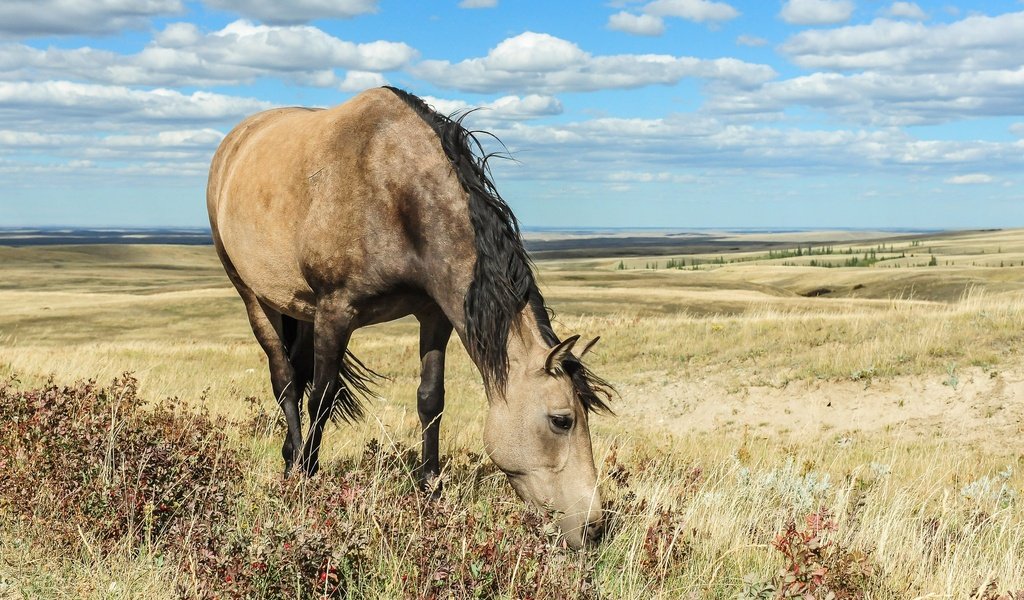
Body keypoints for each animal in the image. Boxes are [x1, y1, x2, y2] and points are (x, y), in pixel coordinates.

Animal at [203, 85, 610, 544]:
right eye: (562, 421)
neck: (394, 190)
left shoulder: (434, 314)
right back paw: (294, 465)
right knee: (286, 381)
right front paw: (309, 480)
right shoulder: (335, 313)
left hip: (299, 308)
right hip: (253, 295)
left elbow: (431, 399)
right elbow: (321, 399)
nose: (595, 529)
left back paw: (291, 455)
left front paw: (430, 489)